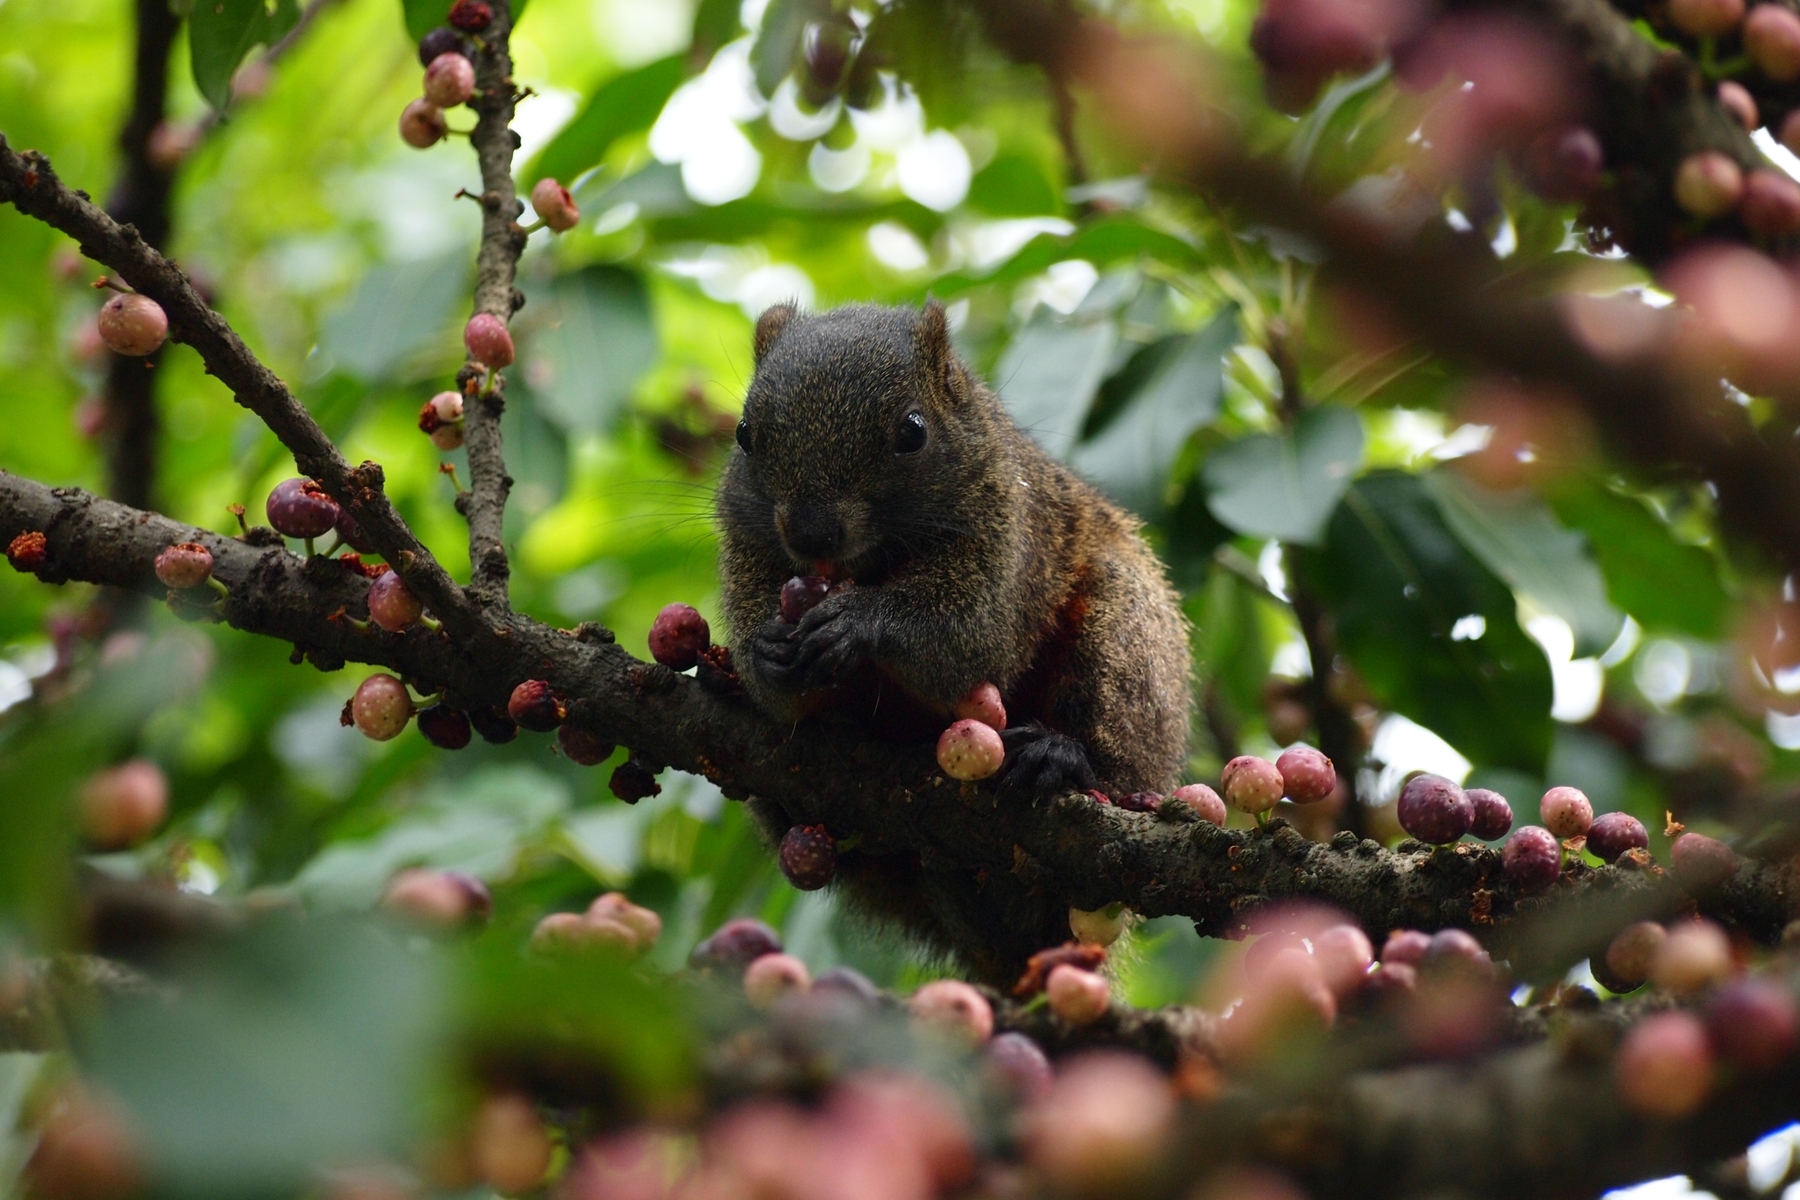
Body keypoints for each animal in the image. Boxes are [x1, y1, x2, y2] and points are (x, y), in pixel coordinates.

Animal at [716, 300, 1195, 985]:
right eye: (744, 434)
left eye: (913, 432)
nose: (810, 534)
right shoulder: (749, 540)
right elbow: (778, 695)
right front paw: (767, 654)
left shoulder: (1006, 534)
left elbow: (971, 637)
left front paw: (859, 620)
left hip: (1127, 641)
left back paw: (1061, 756)